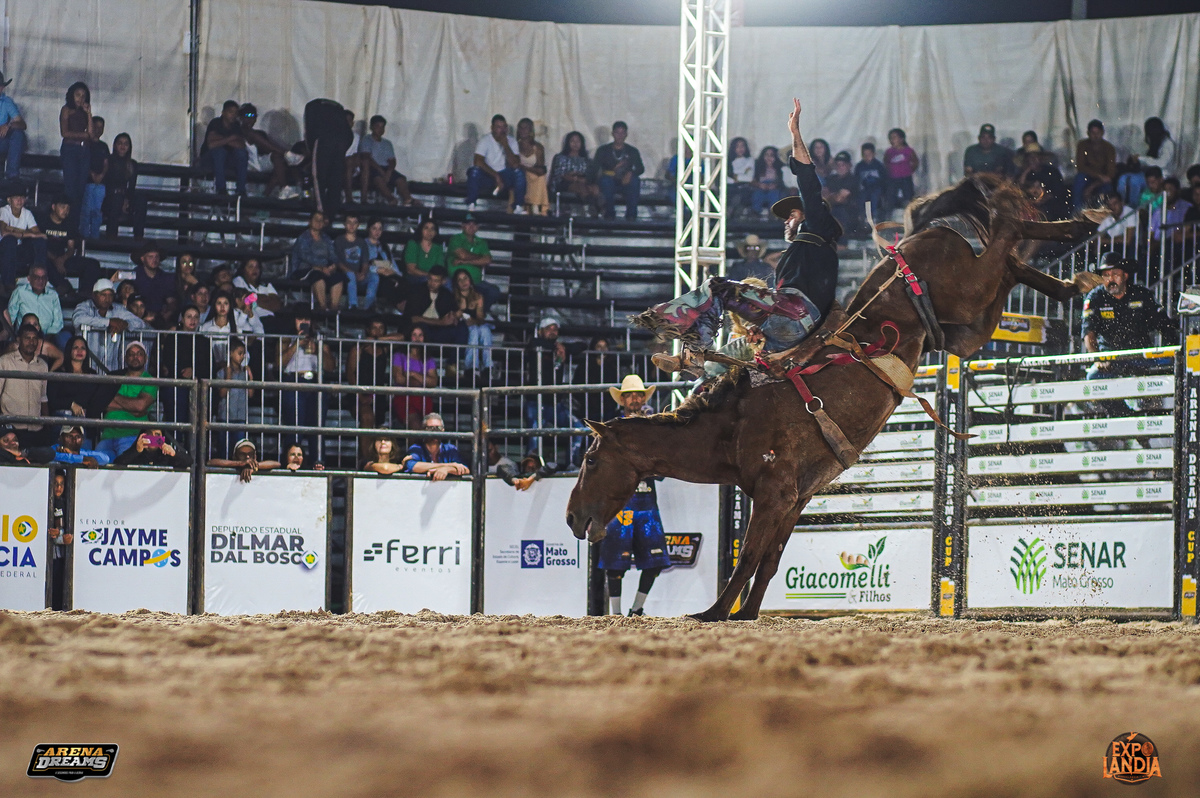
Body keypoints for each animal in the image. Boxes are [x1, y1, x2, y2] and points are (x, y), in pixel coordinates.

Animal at [565, 175, 1102, 621]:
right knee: (1010, 262)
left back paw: (1080, 227)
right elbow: (768, 561)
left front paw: (712, 613)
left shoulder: (774, 492)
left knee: (1007, 230)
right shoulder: (795, 498)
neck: (730, 427)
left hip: (966, 291)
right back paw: (1075, 272)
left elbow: (748, 558)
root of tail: (910, 241)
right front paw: (745, 615)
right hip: (967, 325)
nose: (572, 517)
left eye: (590, 460)